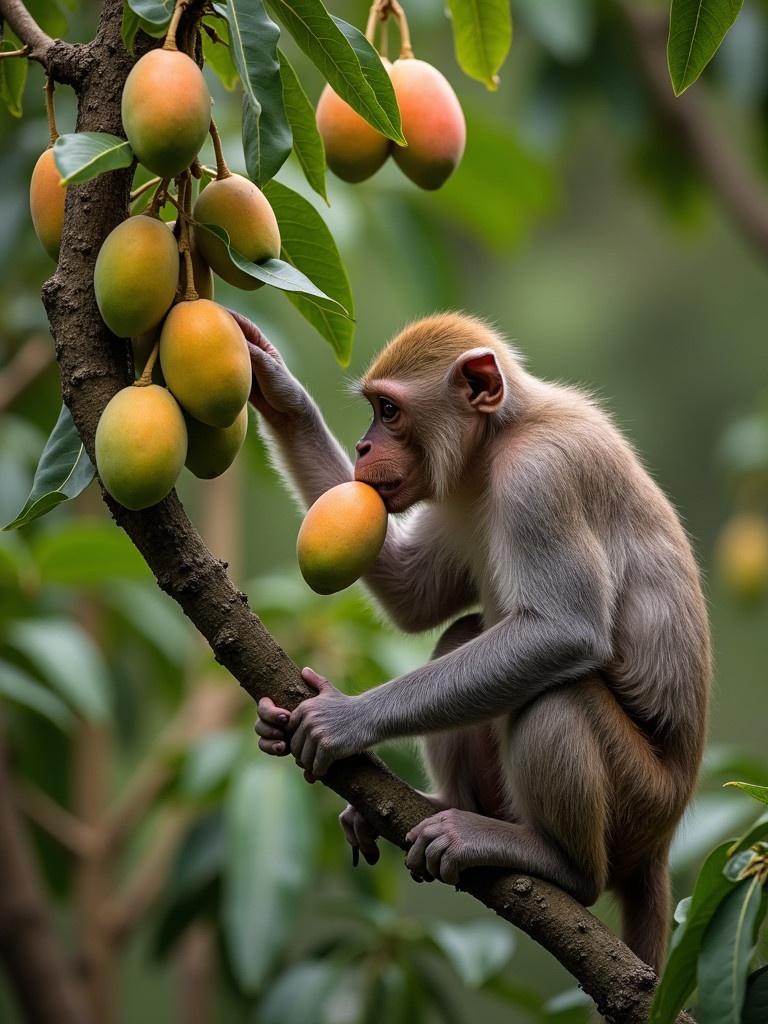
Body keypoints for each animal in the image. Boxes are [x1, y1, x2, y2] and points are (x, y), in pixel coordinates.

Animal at [237, 307, 712, 970]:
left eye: (389, 412)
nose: (363, 448)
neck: (499, 438)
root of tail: (663, 840)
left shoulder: (541, 476)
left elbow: (566, 633)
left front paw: (344, 718)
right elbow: (414, 596)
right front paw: (278, 389)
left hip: (641, 801)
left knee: (556, 697)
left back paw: (558, 863)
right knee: (462, 631)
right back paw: (444, 807)